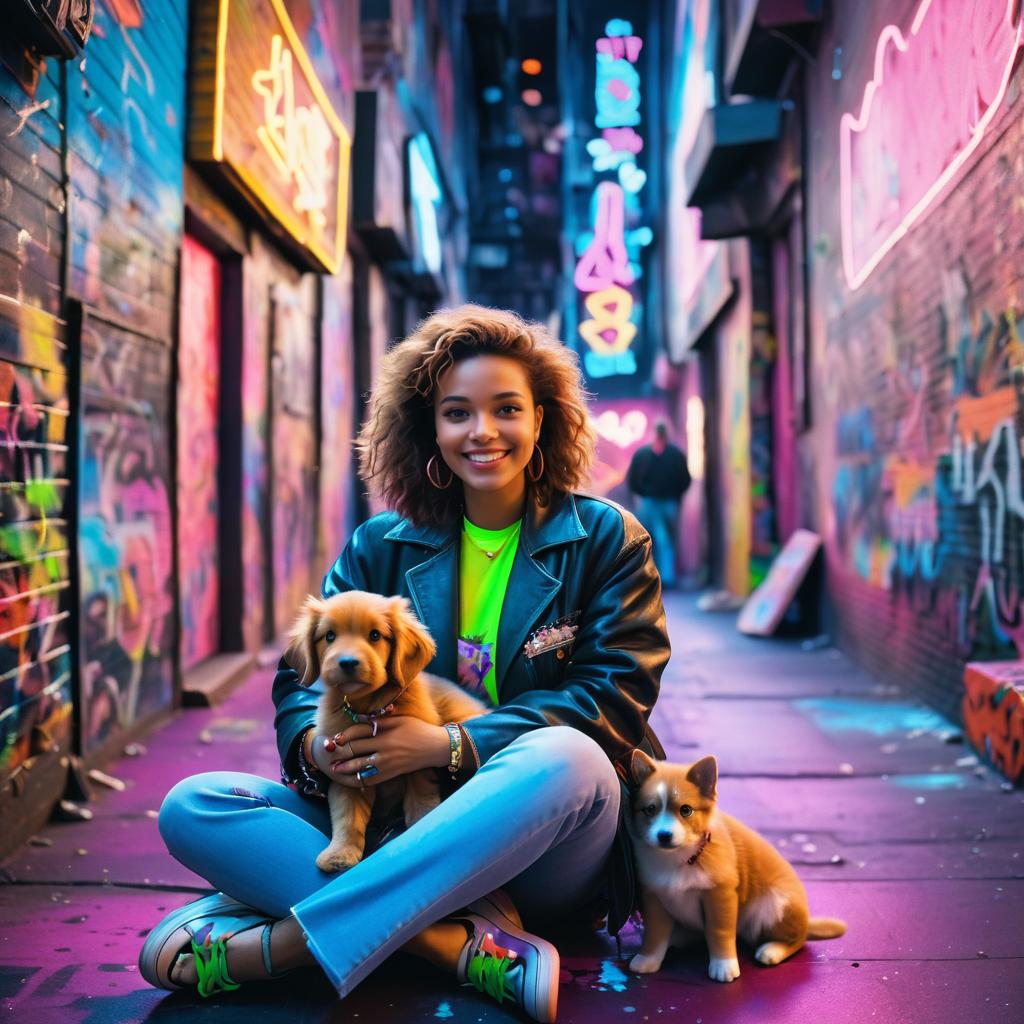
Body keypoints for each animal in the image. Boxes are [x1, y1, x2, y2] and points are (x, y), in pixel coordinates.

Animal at [282, 593, 485, 872]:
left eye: (375, 635)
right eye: (330, 636)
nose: (347, 662)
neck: (370, 711)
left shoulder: (418, 760)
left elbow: (420, 799)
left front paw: (422, 828)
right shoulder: (345, 772)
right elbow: (347, 815)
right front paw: (340, 853)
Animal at [626, 753, 843, 983]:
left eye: (686, 810)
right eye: (650, 809)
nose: (664, 835)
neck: (680, 858)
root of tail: (806, 921)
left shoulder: (720, 894)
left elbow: (719, 932)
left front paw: (724, 966)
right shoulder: (653, 896)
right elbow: (655, 933)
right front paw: (647, 959)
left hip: (775, 905)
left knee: (798, 939)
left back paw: (772, 950)